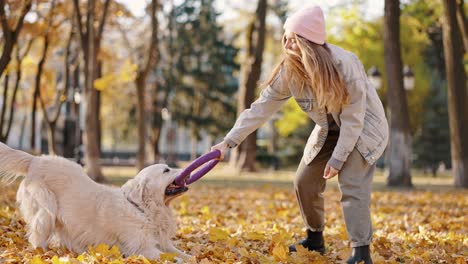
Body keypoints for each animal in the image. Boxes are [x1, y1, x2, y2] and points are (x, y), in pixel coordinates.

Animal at [0, 142, 192, 260]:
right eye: (166, 170)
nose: (187, 169)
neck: (143, 209)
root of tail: (35, 159)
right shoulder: (142, 248)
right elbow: (172, 258)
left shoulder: (162, 243)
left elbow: (182, 254)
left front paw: (193, 257)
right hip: (46, 209)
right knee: (37, 236)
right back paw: (41, 254)